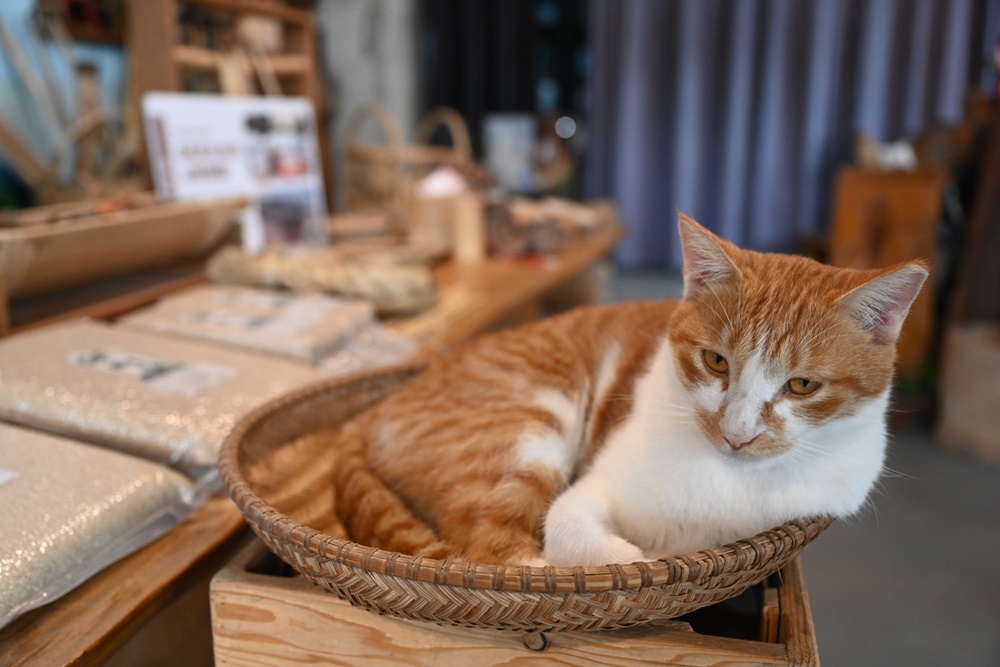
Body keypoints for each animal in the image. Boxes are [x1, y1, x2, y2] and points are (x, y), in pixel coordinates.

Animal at [332, 215, 924, 568]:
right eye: (716, 361)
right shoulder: (588, 492)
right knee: (489, 548)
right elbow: (579, 539)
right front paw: (629, 559)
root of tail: (372, 412)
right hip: (531, 432)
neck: (725, 479)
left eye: (801, 386)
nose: (736, 434)